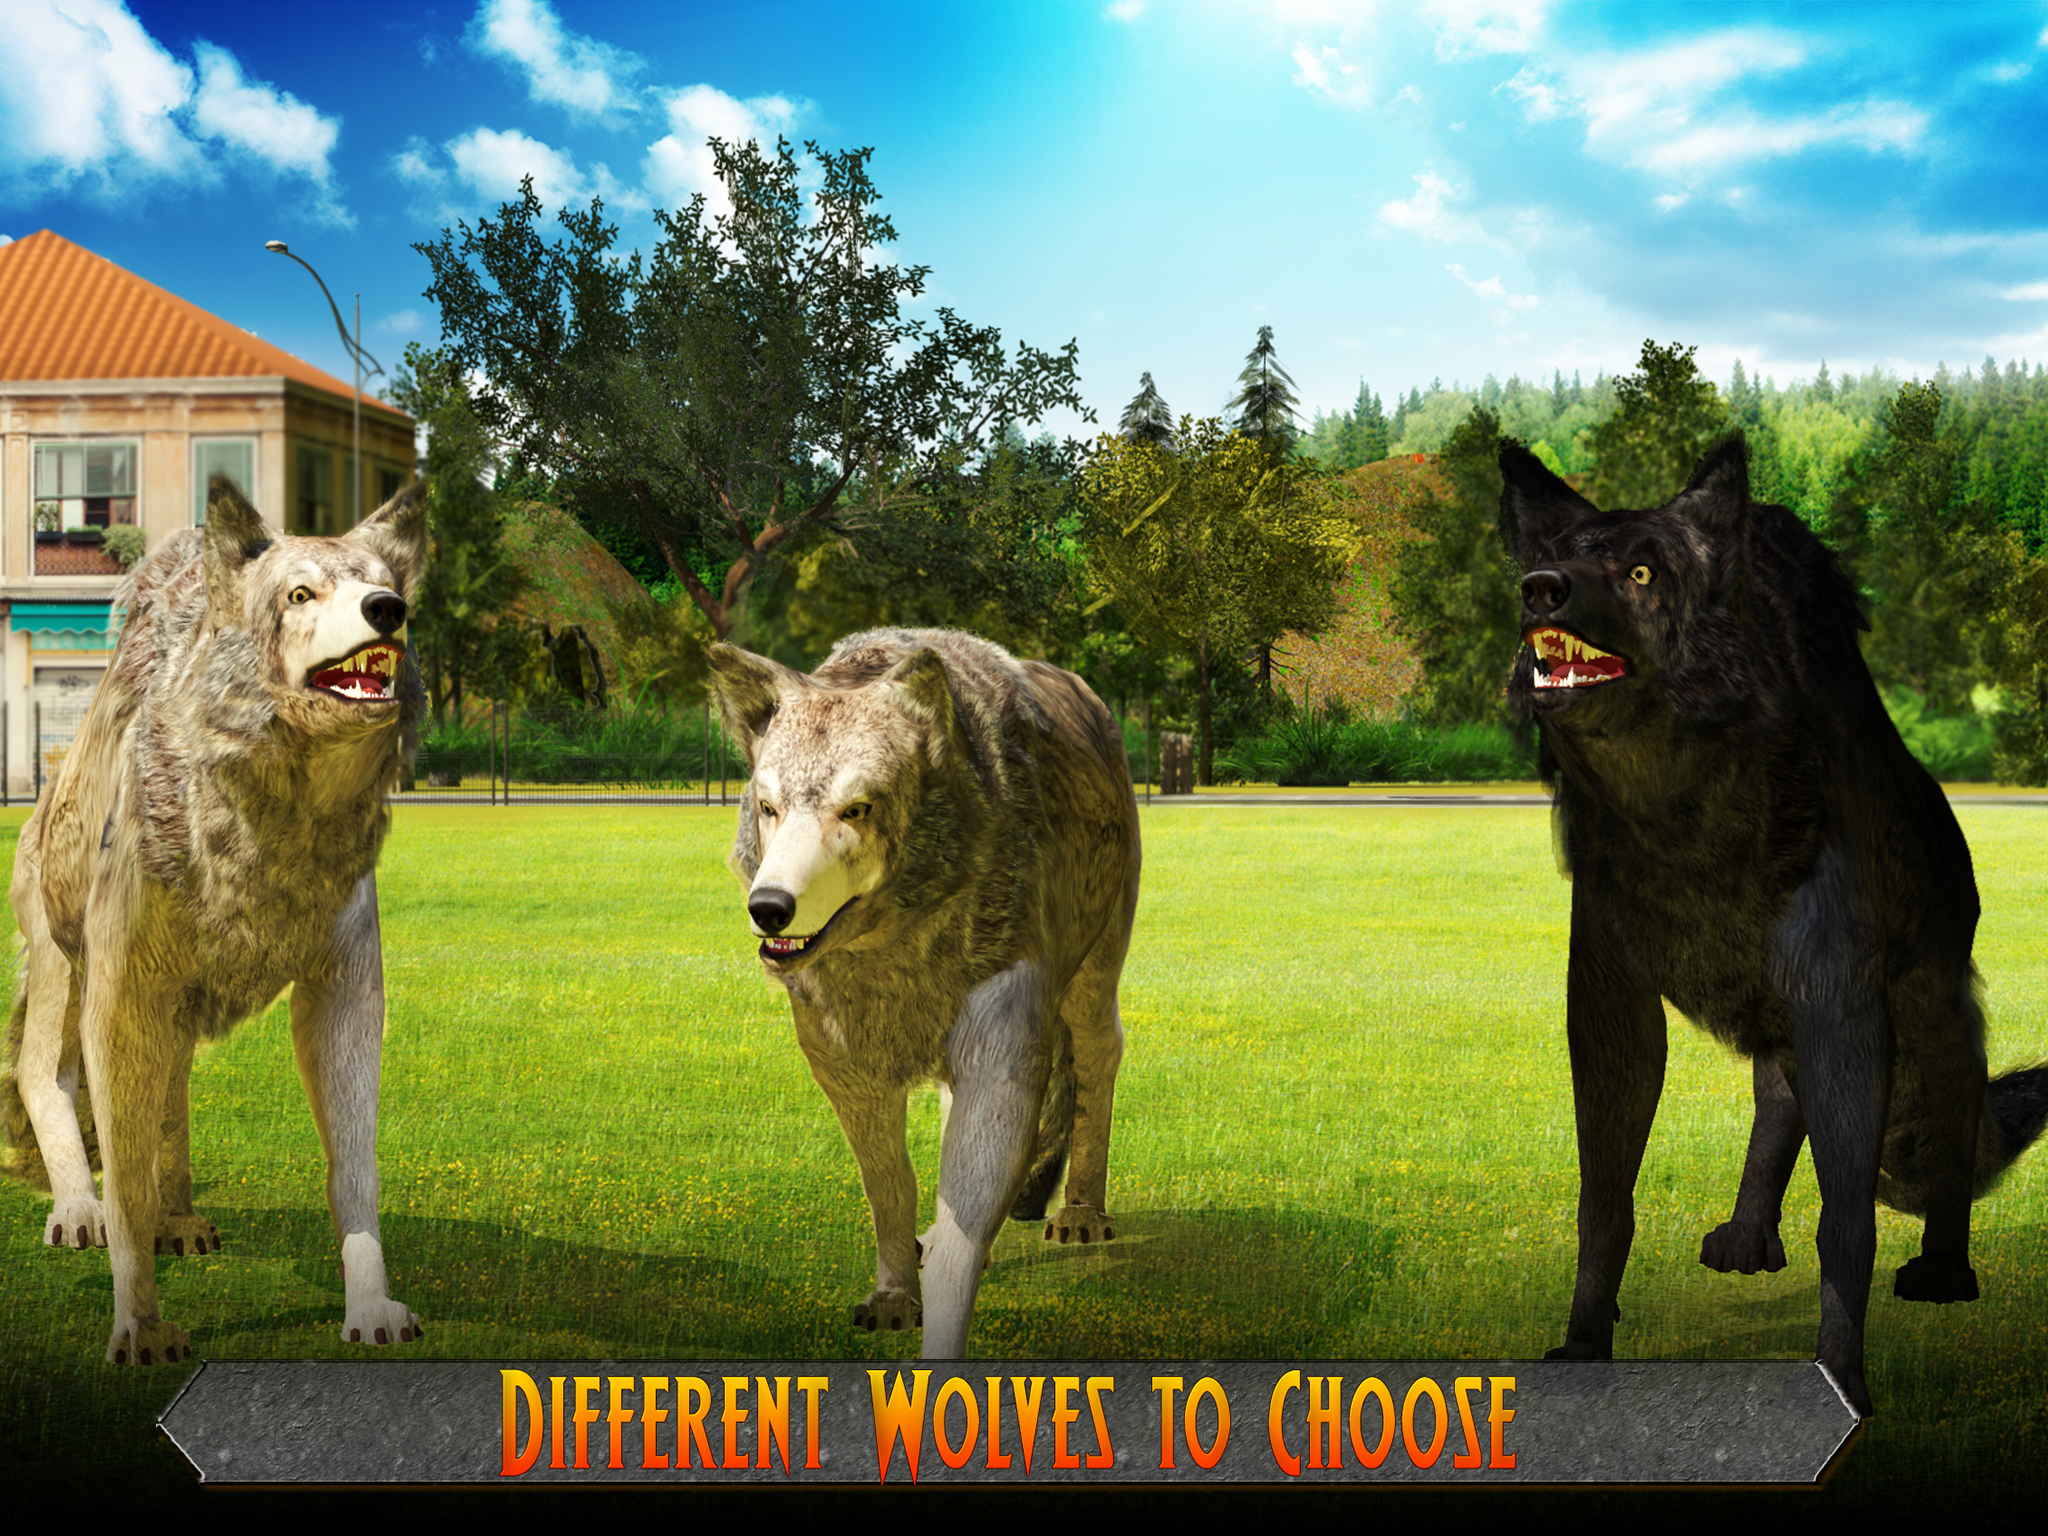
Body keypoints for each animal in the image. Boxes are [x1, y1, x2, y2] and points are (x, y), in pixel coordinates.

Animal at [0, 475, 429, 1366]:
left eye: (383, 584)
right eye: (300, 594)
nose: (388, 609)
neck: (274, 830)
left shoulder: (342, 981)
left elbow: (355, 1162)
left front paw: (371, 1306)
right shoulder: (121, 989)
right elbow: (121, 1171)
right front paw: (139, 1324)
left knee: (169, 1093)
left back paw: (182, 1220)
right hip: (61, 957)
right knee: (43, 1075)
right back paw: (77, 1210)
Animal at [708, 628, 1140, 1358]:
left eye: (857, 809)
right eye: (769, 809)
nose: (769, 908)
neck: (892, 958)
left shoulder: (1002, 1058)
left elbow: (960, 1238)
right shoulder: (845, 1069)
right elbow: (892, 1188)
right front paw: (893, 1295)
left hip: (1092, 977)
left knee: (1099, 1056)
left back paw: (1082, 1210)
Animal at [1499, 436, 2048, 1415]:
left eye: (1642, 571)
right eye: (1560, 554)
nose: (1539, 588)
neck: (1684, 825)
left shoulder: (1839, 1003)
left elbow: (1848, 1220)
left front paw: (1842, 1379)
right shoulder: (1610, 1000)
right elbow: (1605, 1200)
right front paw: (1583, 1346)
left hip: (1929, 1012)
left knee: (1954, 1116)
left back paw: (1945, 1271)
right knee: (1776, 1100)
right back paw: (1748, 1238)